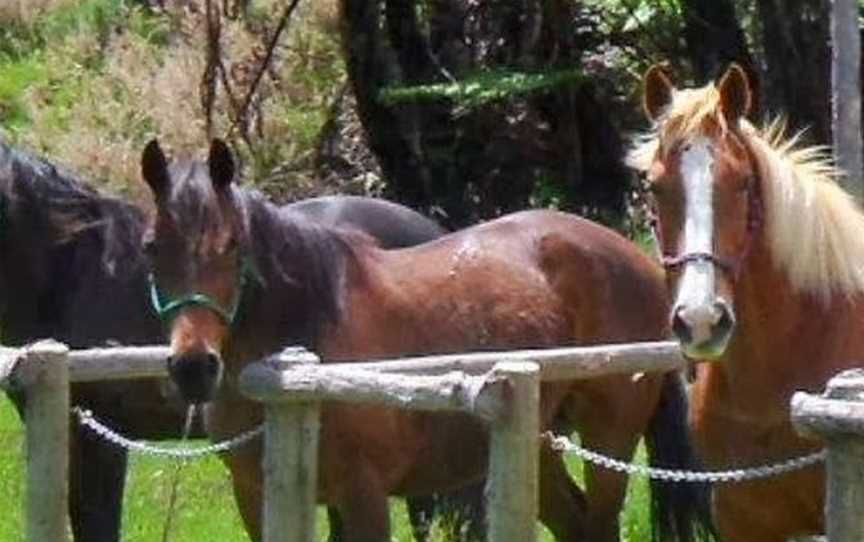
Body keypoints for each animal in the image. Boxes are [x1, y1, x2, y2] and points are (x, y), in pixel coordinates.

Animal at [140, 138, 708, 540]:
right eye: (150, 247)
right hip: (536, 443)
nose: (193, 367)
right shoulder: (254, 496)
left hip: (607, 435)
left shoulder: (363, 495)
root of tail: (641, 261)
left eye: (233, 245)